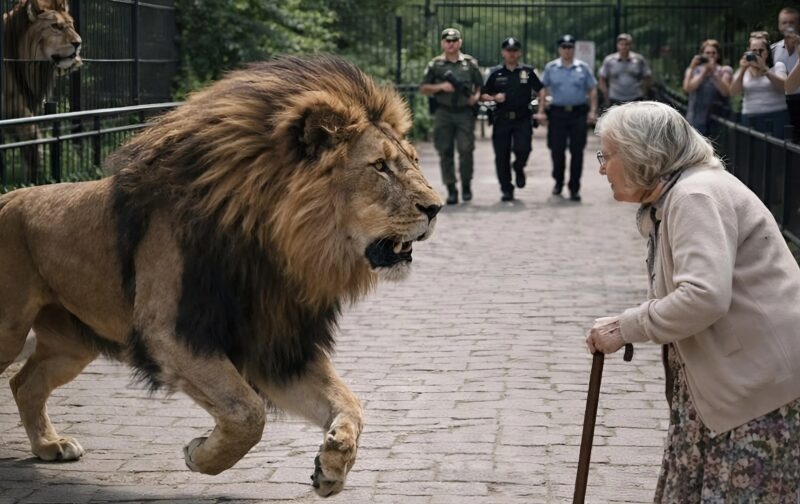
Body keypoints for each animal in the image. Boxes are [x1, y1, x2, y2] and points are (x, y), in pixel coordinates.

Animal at [0, 55, 442, 497]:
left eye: (414, 161)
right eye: (380, 167)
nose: (436, 207)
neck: (278, 248)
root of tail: (10, 197)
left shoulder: (278, 348)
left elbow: (350, 403)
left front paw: (332, 465)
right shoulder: (170, 333)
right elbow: (247, 412)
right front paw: (200, 455)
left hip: (73, 345)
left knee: (24, 383)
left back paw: (49, 445)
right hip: (12, 331)